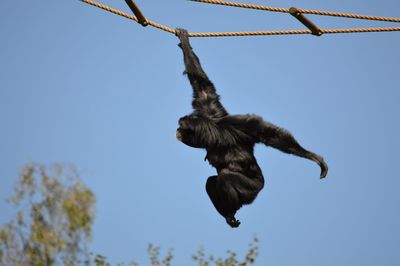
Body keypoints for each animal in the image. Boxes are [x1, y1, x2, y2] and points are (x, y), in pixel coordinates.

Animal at [175, 29, 328, 229]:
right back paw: (230, 214)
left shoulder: (237, 124)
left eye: (181, 126)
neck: (212, 134)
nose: (176, 130)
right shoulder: (211, 110)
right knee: (211, 181)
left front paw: (315, 159)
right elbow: (202, 87)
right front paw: (184, 41)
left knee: (225, 176)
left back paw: (232, 212)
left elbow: (268, 133)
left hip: (253, 188)